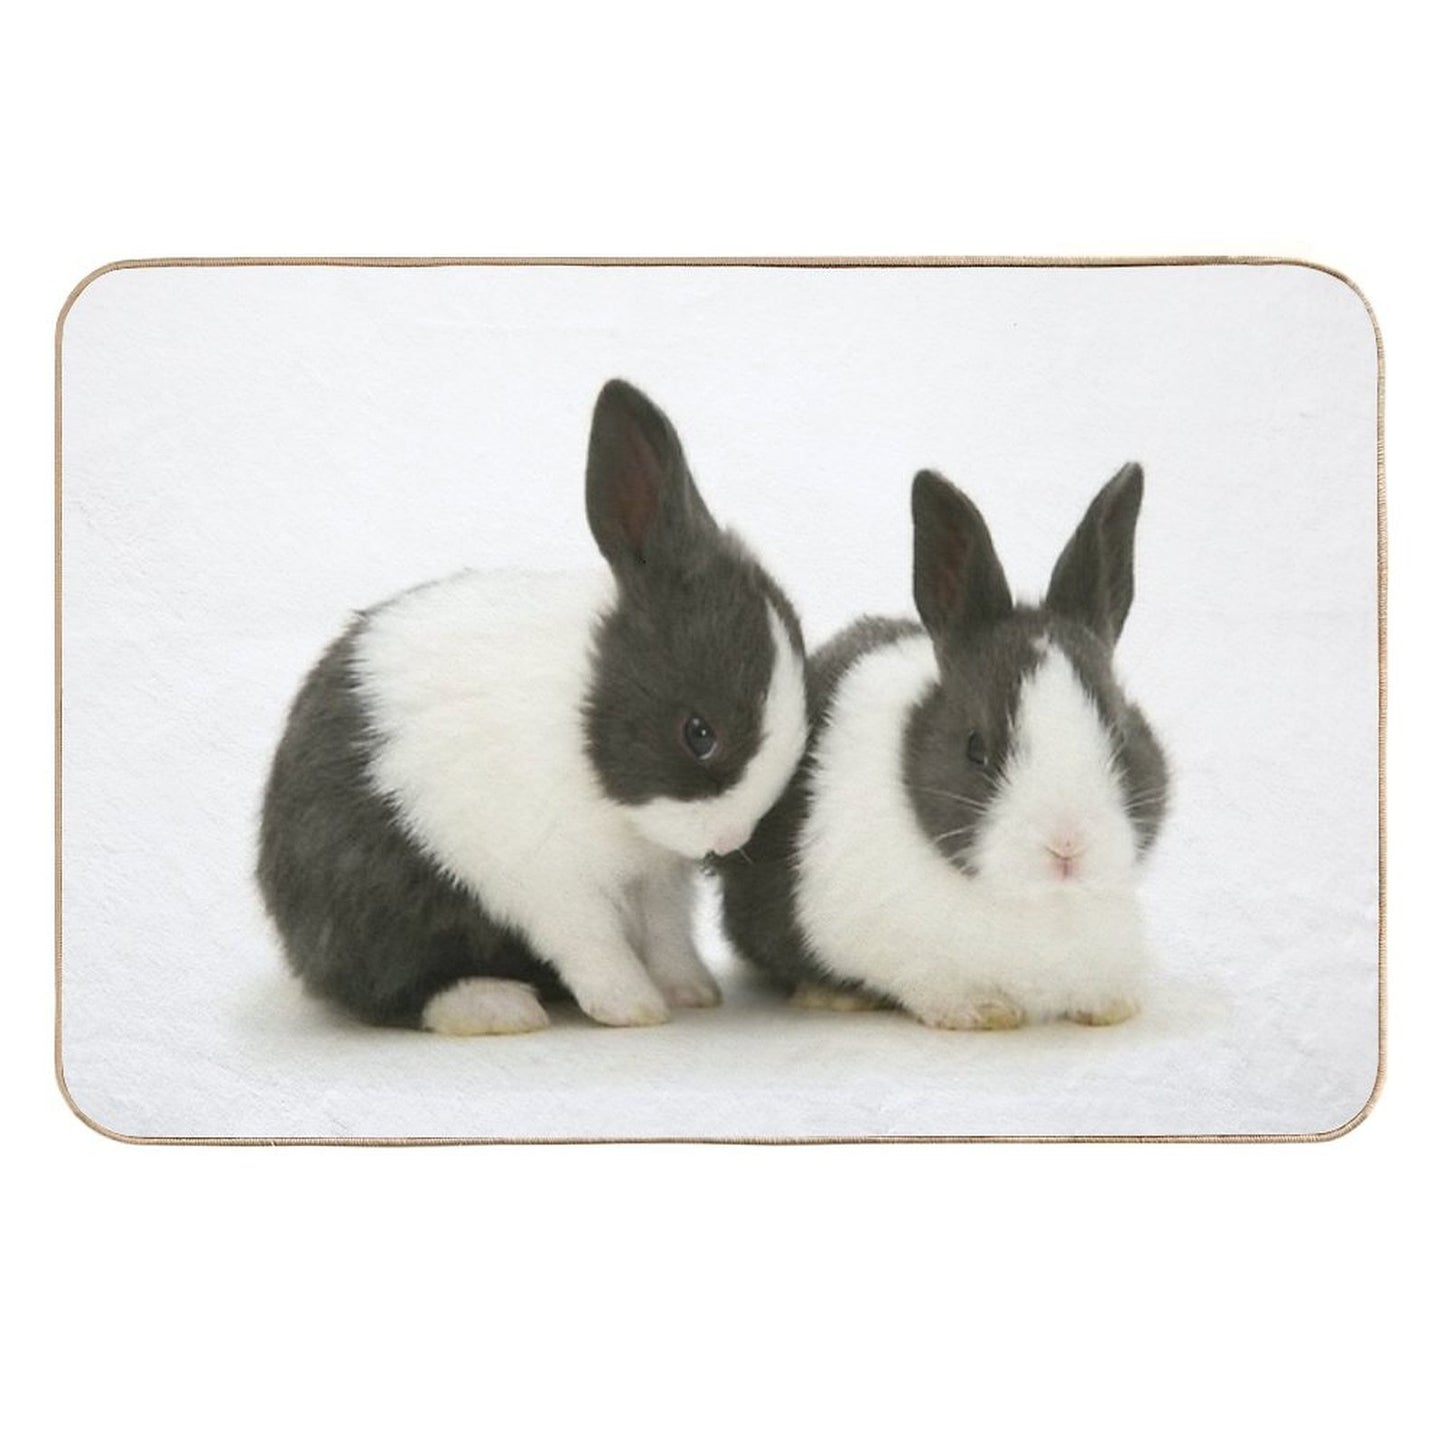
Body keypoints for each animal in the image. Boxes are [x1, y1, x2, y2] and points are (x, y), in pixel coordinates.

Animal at [257, 379, 808, 1035]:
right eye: (700, 733)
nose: (725, 841)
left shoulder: (657, 879)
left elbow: (668, 935)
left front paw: (690, 992)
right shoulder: (546, 876)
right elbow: (591, 941)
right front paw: (633, 1007)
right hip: (375, 904)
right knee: (392, 987)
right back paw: (496, 1006)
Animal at [717, 462, 1168, 1029]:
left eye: (1121, 731)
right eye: (976, 748)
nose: (1067, 845)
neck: (1038, 903)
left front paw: (1111, 1009)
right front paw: (986, 1012)